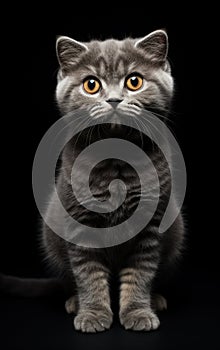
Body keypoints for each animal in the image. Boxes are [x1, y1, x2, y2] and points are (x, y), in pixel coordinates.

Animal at [0, 29, 185, 330]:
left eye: (134, 81)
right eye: (91, 85)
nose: (114, 100)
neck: (116, 162)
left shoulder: (150, 225)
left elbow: (140, 274)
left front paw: (138, 312)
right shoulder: (79, 223)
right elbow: (89, 276)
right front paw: (93, 314)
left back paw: (156, 299)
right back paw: (74, 302)